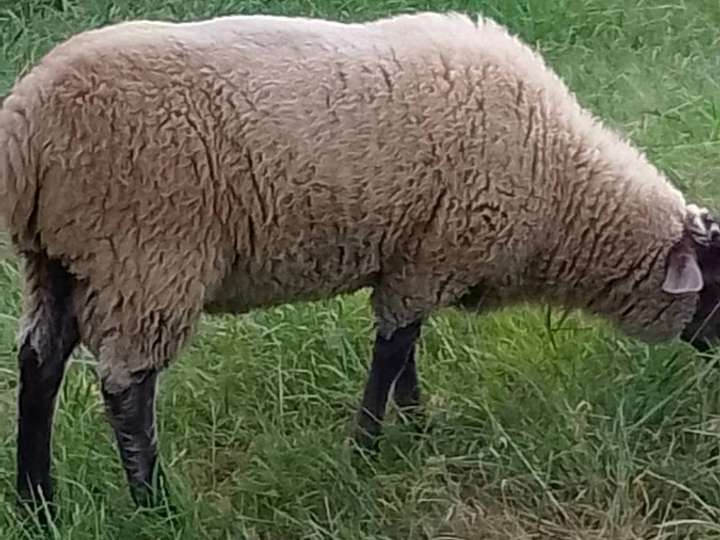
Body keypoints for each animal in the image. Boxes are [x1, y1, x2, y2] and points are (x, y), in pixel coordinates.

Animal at [2, 10, 720, 512]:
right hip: (146, 254)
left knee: (39, 363)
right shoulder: (435, 254)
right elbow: (392, 351)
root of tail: (29, 117)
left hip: (58, 260)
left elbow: (406, 352)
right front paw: (369, 451)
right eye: (717, 287)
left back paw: (38, 501)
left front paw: (418, 432)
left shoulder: (416, 257)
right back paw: (155, 505)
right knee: (126, 386)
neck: (563, 186)